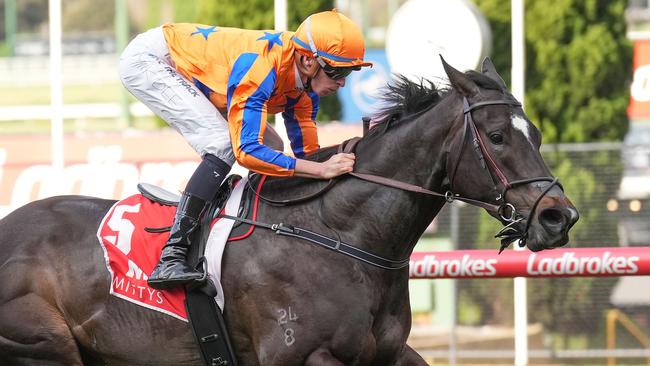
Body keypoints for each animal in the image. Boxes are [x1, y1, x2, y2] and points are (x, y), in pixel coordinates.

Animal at [0, 58, 576, 364]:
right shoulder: (298, 354)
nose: (558, 216)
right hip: (43, 343)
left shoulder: (387, 353)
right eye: (497, 136)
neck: (340, 234)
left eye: (535, 133)